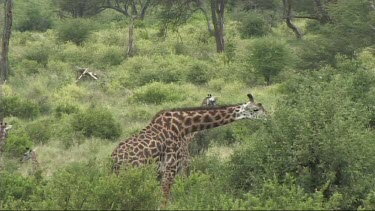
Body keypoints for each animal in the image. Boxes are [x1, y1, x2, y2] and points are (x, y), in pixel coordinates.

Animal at [111, 93, 268, 207]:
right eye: (256, 109)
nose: (269, 116)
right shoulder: (173, 167)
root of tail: (114, 159)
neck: (184, 127)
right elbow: (166, 198)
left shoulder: (164, 171)